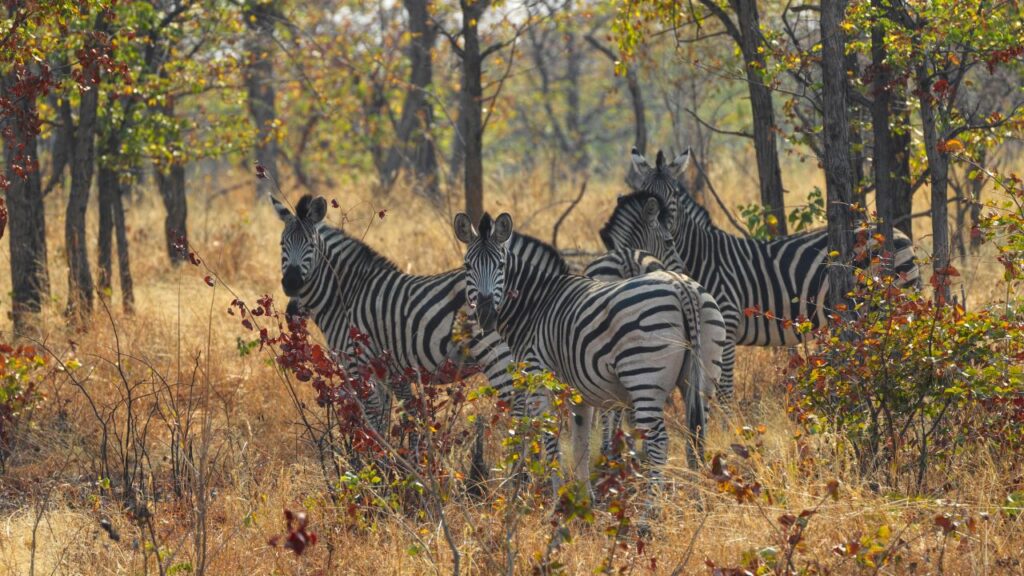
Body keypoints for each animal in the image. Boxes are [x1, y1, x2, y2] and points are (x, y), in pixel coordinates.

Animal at [453, 211, 712, 521]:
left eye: (501, 265)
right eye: (468, 266)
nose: (486, 315)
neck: (535, 306)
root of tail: (681, 287)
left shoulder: (540, 379)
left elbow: (550, 441)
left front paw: (555, 504)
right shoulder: (580, 393)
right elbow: (580, 446)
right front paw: (585, 503)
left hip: (644, 375)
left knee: (659, 440)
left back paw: (647, 516)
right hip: (701, 374)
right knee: (696, 434)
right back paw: (699, 499)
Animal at [602, 147, 920, 400]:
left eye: (675, 197)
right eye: (645, 193)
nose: (661, 227)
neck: (703, 257)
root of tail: (899, 234)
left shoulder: (727, 324)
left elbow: (723, 391)